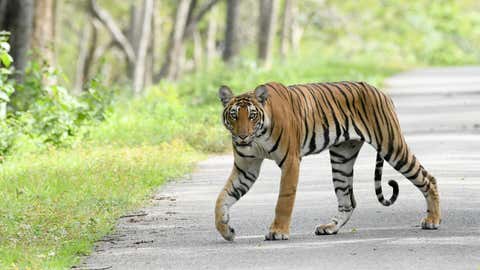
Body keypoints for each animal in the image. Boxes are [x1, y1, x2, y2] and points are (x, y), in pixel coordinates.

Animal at [216, 80, 440, 240]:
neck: (258, 136)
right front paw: (226, 230)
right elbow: (223, 198)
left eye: (252, 115)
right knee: (348, 201)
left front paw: (278, 231)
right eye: (234, 115)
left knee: (428, 178)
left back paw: (432, 220)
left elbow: (284, 200)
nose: (242, 136)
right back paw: (330, 227)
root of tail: (381, 91)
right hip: (342, 158)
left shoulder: (290, 162)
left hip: (392, 146)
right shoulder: (246, 167)